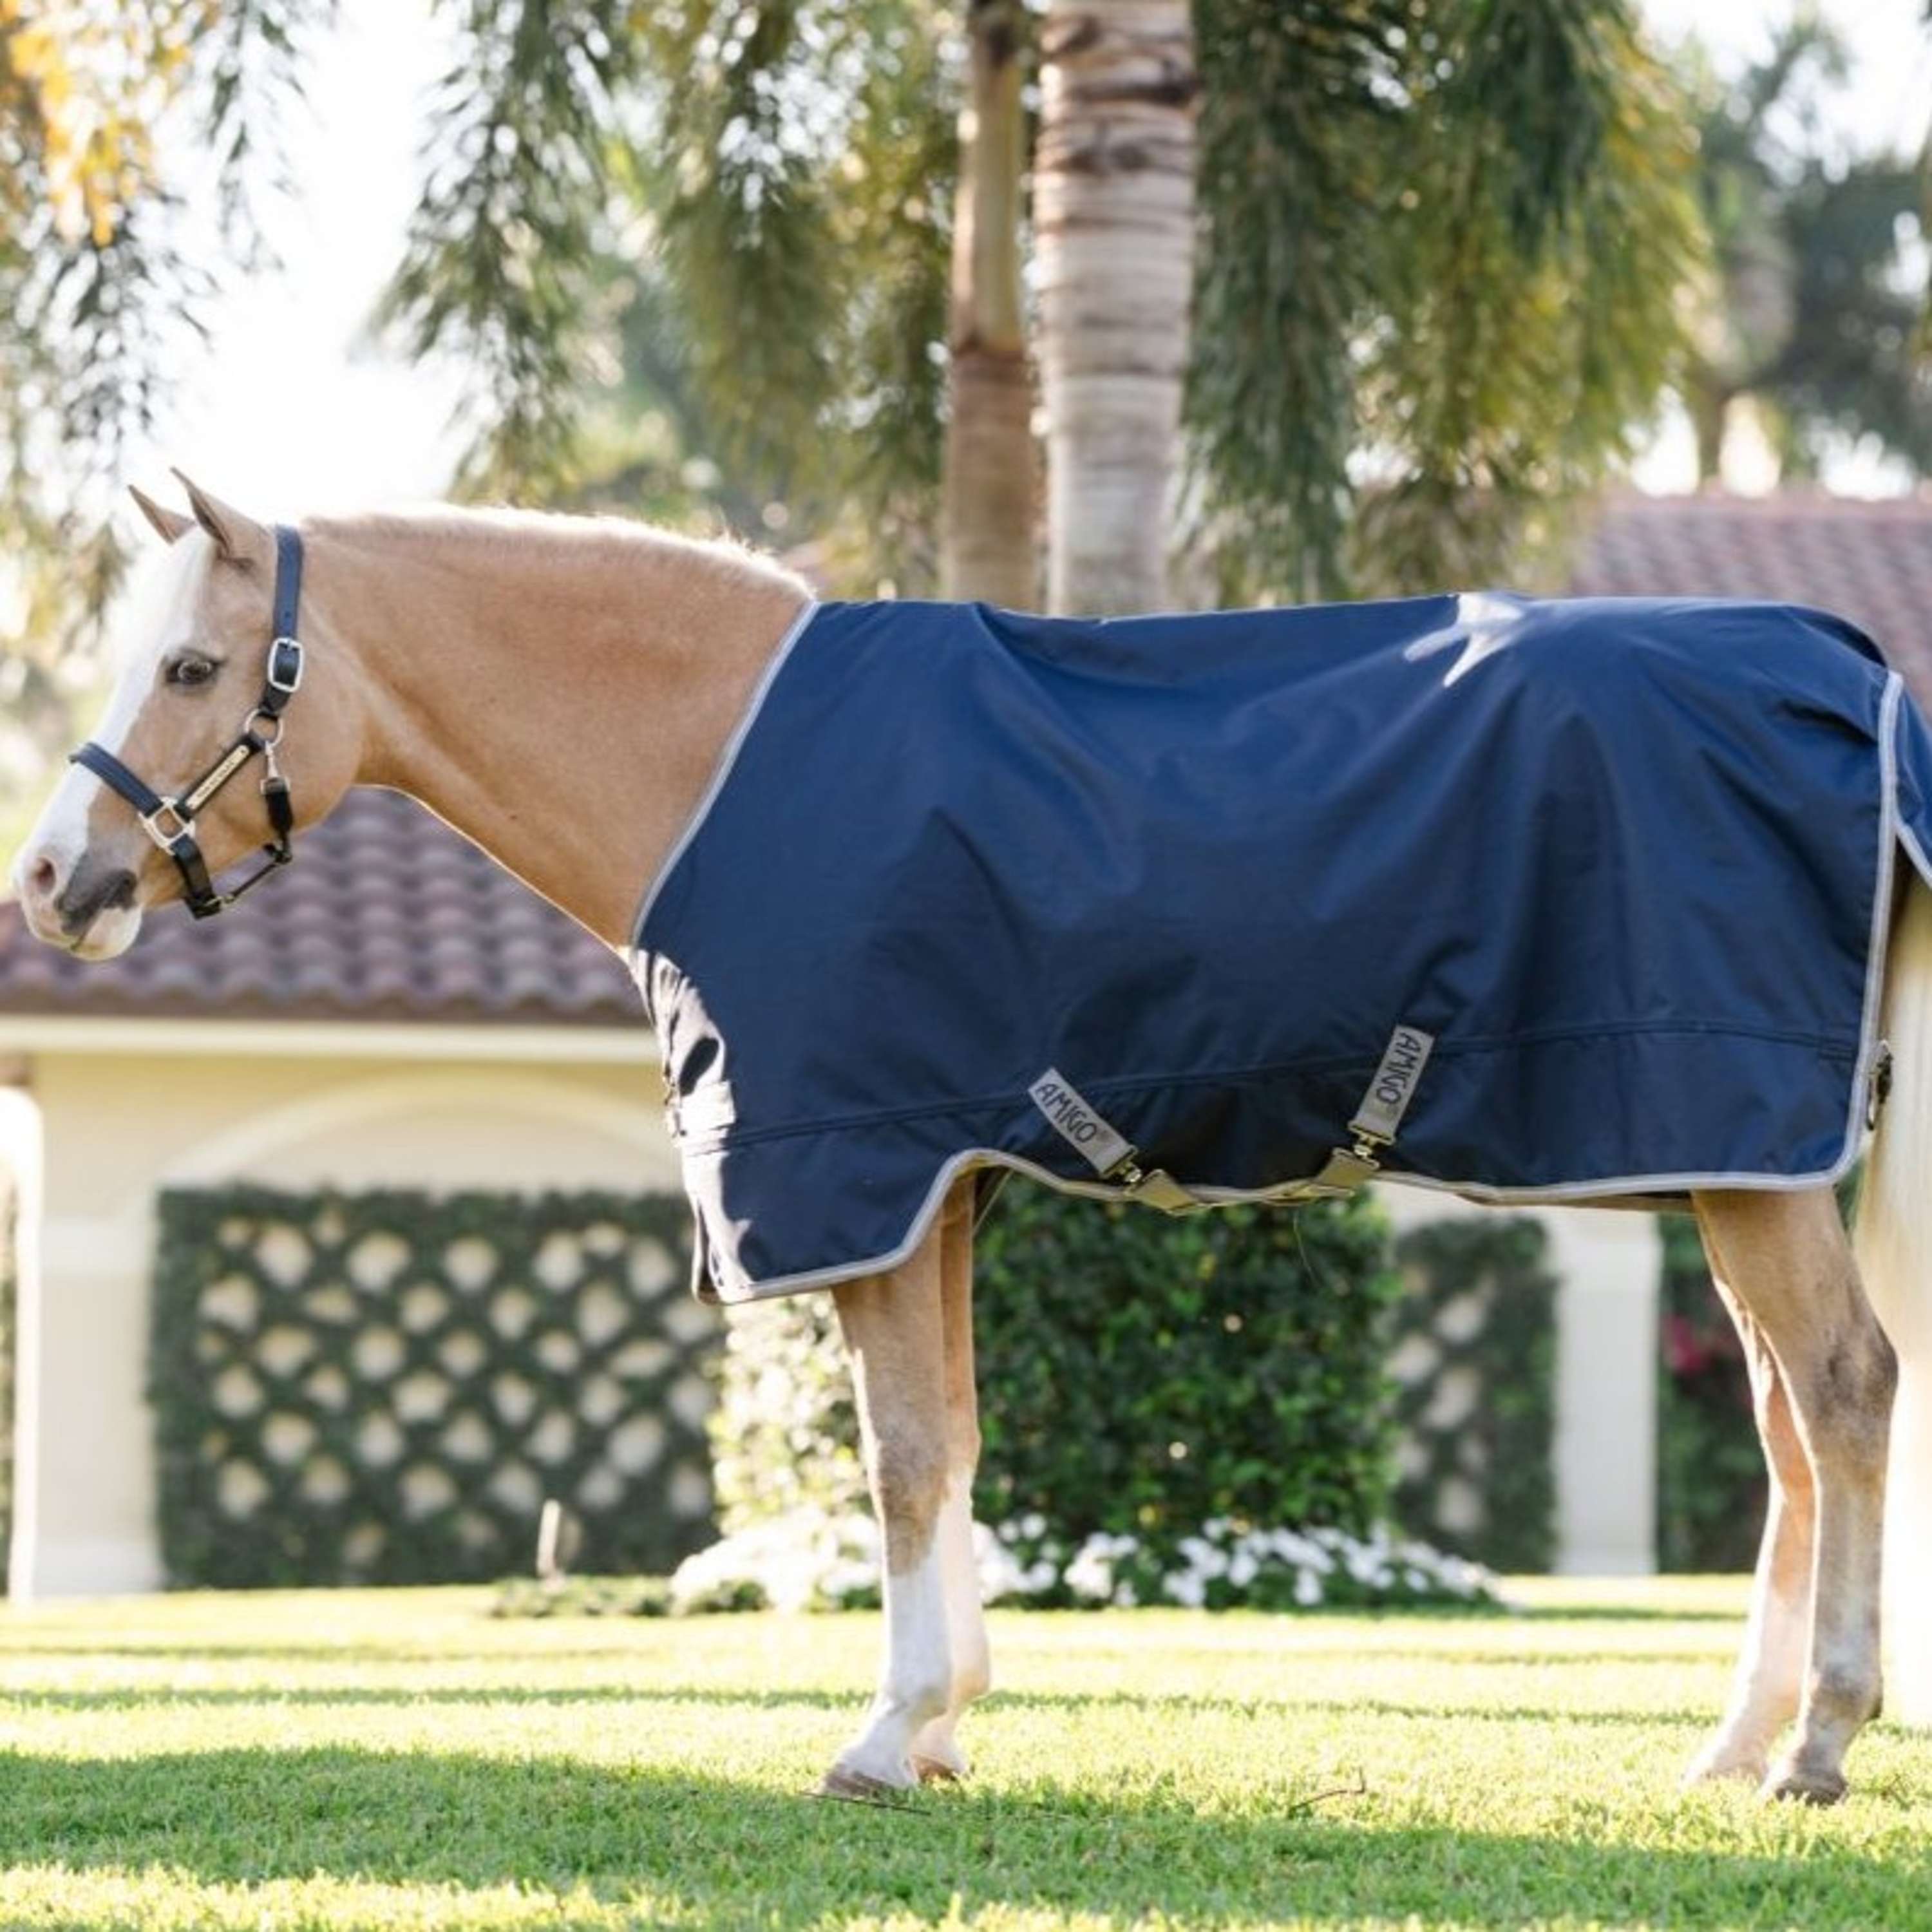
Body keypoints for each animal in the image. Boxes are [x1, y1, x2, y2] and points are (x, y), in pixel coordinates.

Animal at [11, 475, 1929, 1807]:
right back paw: (1731, 1744)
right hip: (1728, 1157)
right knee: (1784, 1423)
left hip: (1737, 1157)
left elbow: (899, 1458)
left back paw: (1820, 1745)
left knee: (1842, 1388)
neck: (720, 763)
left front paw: (884, 1733)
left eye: (192, 664)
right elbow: (957, 1443)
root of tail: (1851, 676)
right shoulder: (933, 1192)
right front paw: (945, 1724)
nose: (51, 880)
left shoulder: (856, 1174)